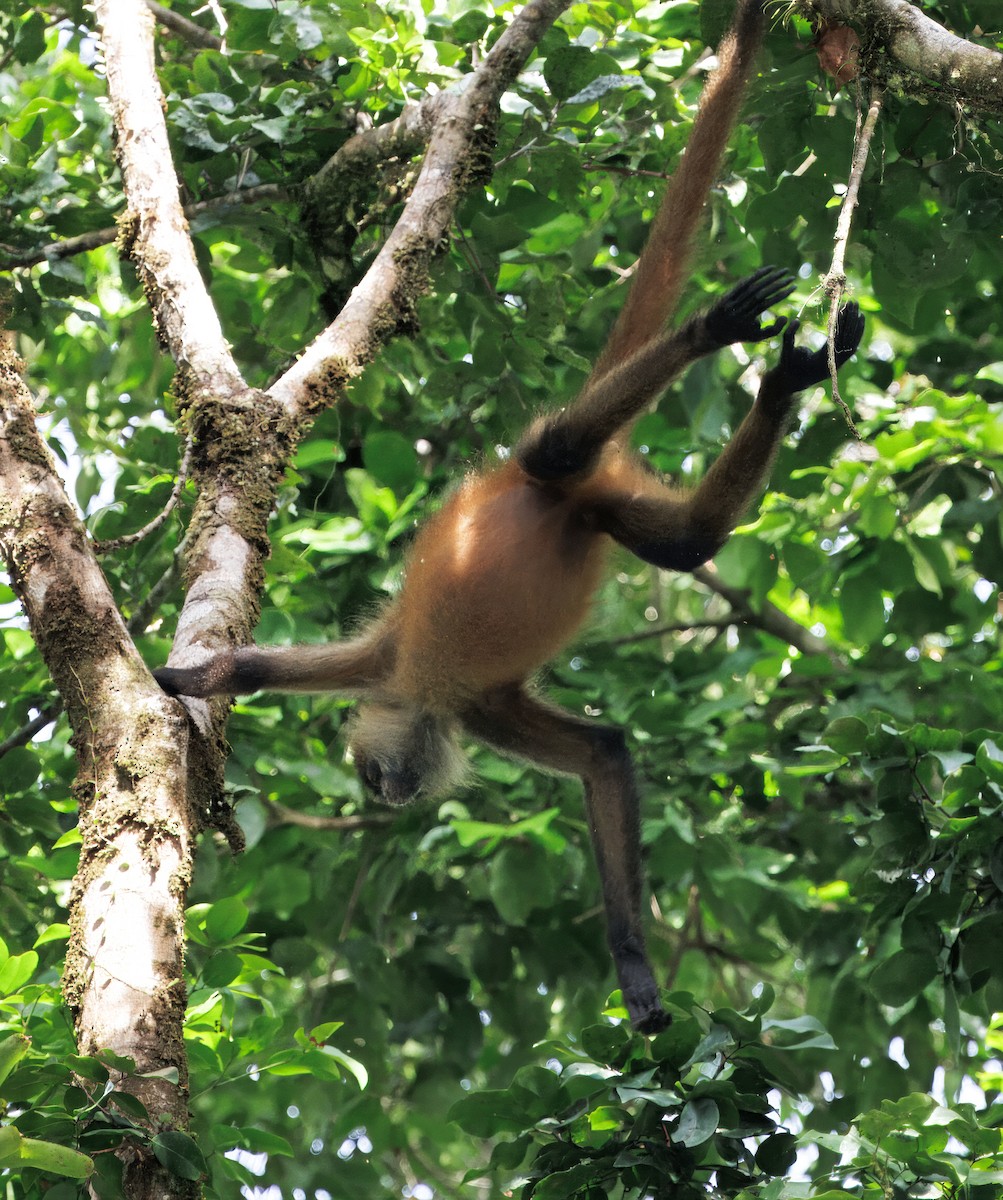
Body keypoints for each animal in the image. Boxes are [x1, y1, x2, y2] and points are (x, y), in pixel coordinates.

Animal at [155, 0, 865, 1034]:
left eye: (374, 780)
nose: (390, 796)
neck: (421, 690)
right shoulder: (457, 695)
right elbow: (605, 758)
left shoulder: (417, 680)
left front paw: (167, 679)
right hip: (605, 506)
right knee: (683, 539)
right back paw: (783, 381)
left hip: (541, 470)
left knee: (557, 448)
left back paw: (710, 332)